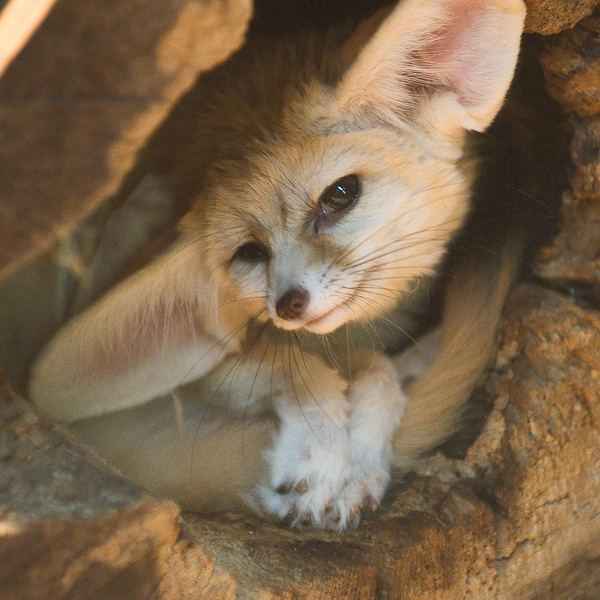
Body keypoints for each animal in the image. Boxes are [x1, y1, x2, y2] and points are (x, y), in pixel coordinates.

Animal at [28, 0, 524, 536]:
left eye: (341, 195)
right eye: (249, 253)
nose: (288, 305)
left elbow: (376, 367)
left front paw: (362, 461)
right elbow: (299, 365)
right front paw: (324, 453)